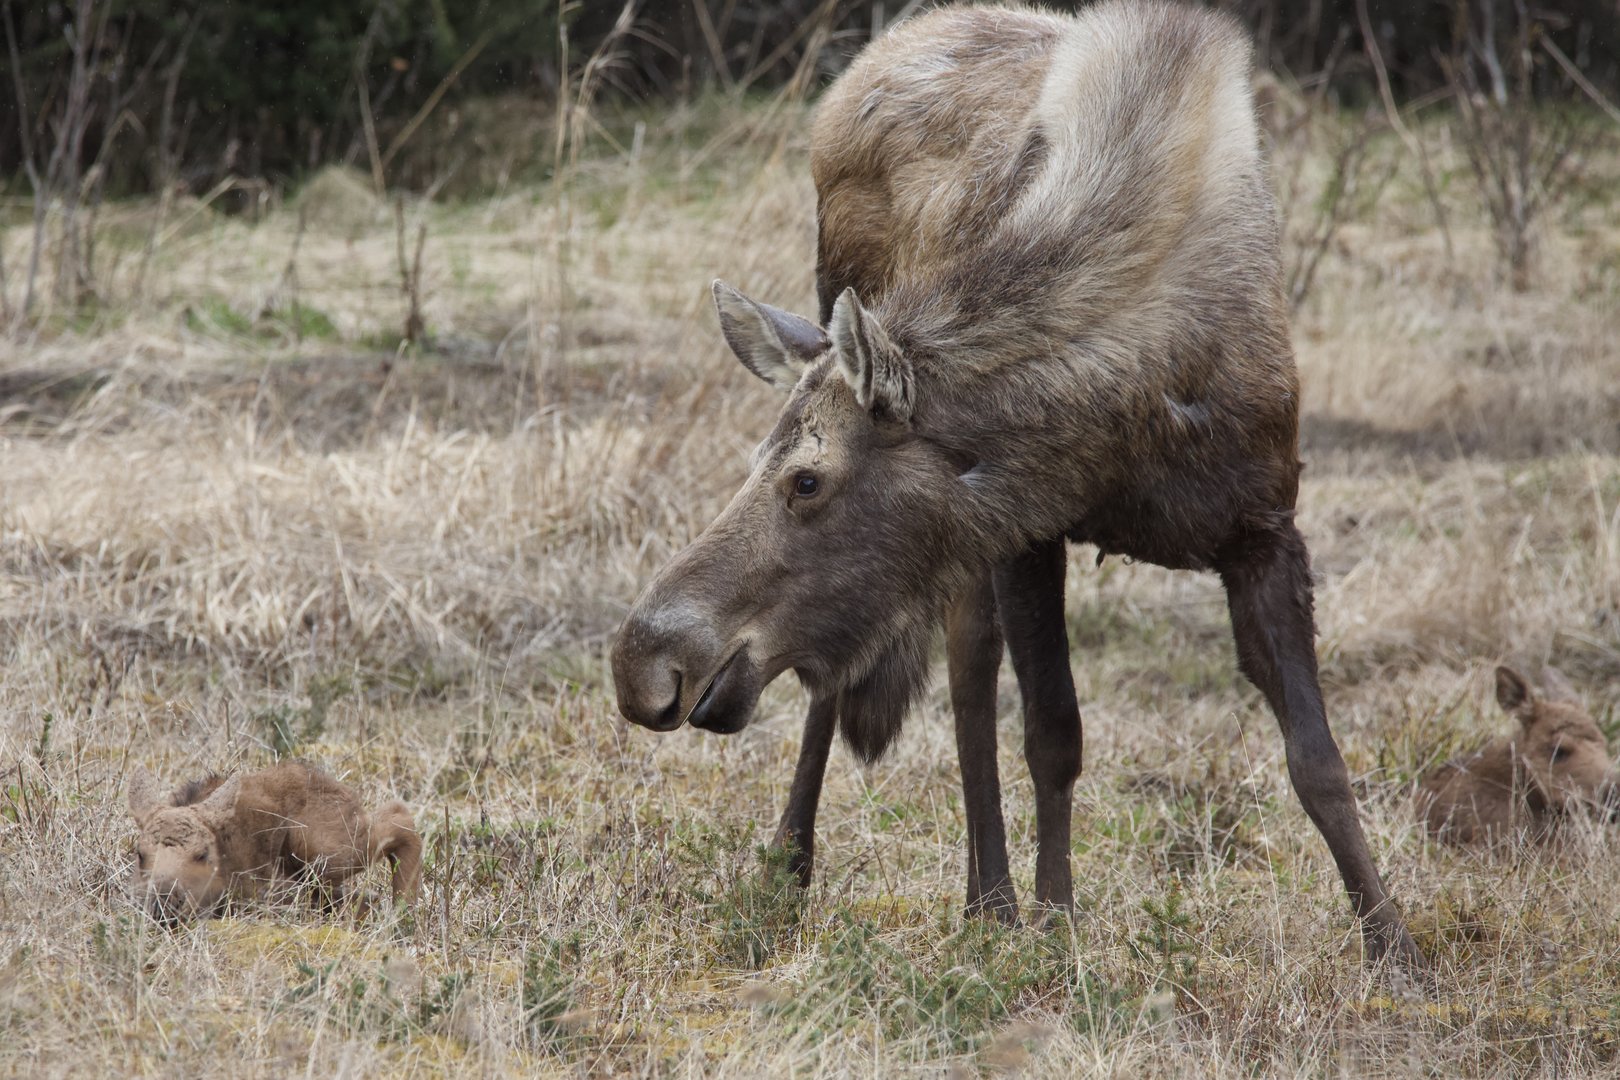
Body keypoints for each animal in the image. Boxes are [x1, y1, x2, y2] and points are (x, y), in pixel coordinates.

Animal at [612, 0, 1420, 966]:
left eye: (807, 481)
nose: (642, 659)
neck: (1135, 415)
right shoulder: (1028, 529)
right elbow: (1051, 733)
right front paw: (1054, 924)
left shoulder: (1263, 527)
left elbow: (1318, 758)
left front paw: (1395, 947)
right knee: (915, 683)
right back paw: (841, 873)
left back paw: (977, 895)